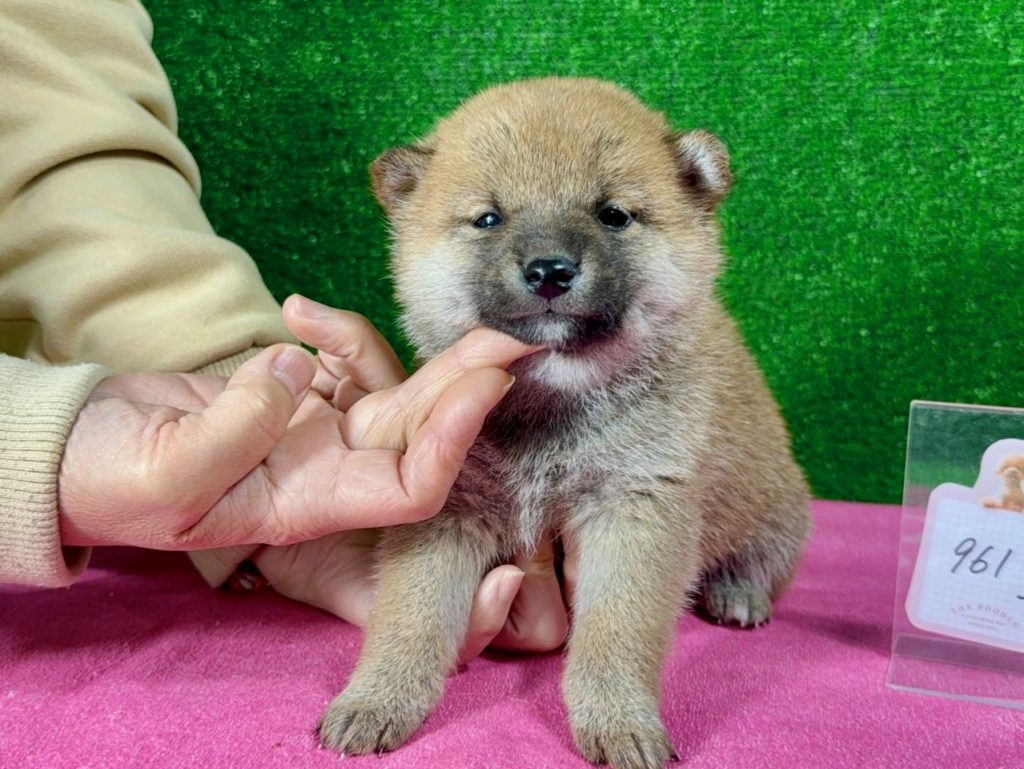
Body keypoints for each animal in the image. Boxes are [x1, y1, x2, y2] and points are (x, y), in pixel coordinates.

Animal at [318, 77, 811, 769]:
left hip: (778, 507)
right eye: (489, 218)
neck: (555, 402)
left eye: (613, 214)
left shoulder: (635, 508)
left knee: (763, 558)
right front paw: (376, 698)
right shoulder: (448, 507)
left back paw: (738, 593)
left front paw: (619, 720)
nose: (550, 270)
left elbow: (616, 632)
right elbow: (409, 616)